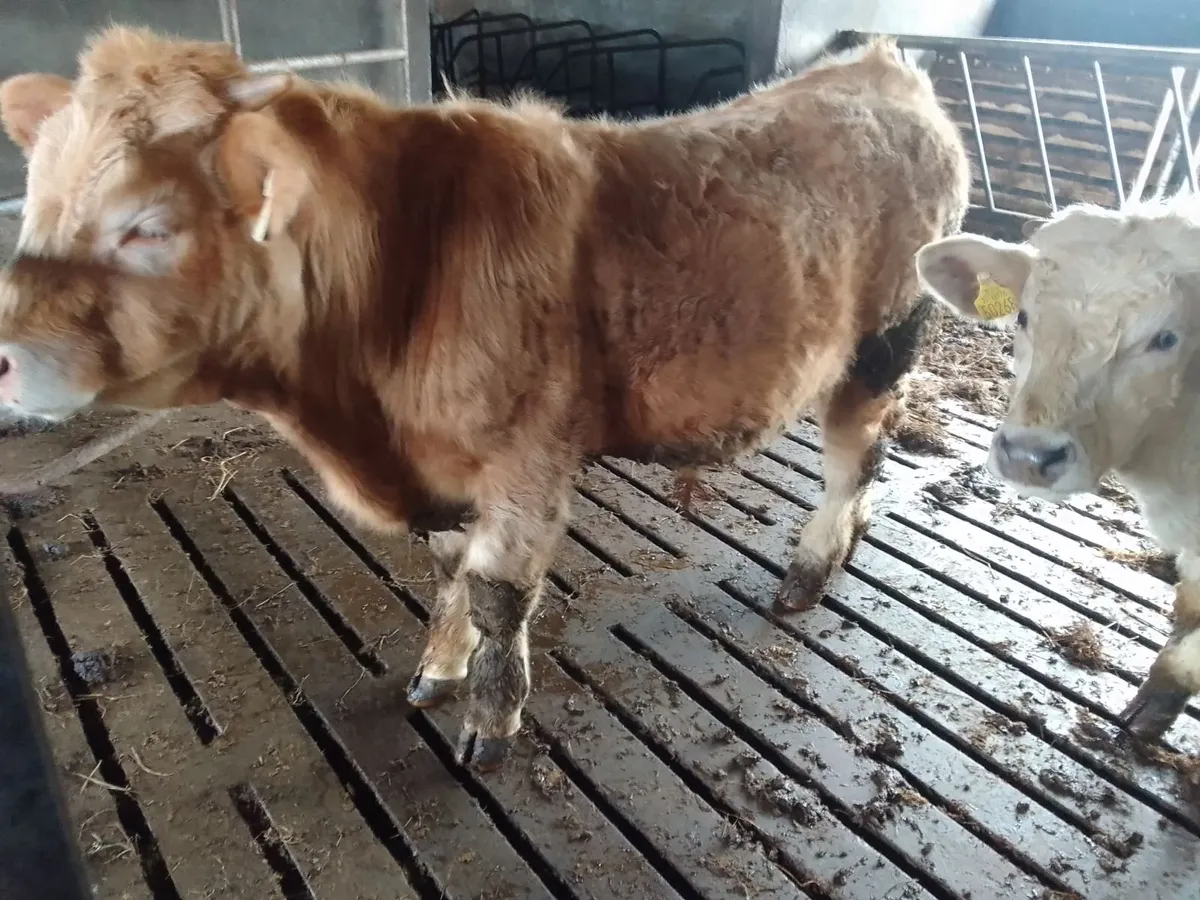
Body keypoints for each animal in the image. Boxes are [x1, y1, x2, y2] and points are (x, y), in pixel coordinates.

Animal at [0, 27, 969, 770]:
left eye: (146, 226)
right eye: (34, 209)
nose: (5, 354)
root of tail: (879, 65)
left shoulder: (527, 458)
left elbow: (501, 594)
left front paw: (492, 722)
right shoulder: (445, 465)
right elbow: (448, 573)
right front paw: (440, 667)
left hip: (884, 342)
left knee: (854, 458)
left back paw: (810, 571)